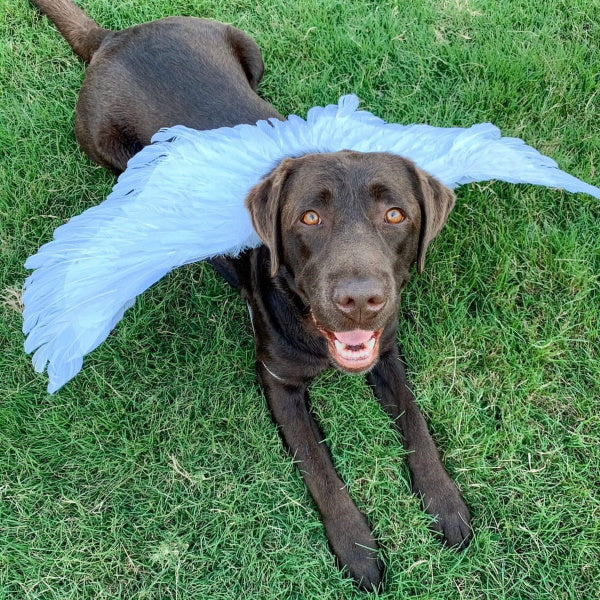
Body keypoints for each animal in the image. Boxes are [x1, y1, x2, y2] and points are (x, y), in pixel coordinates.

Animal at [30, 0, 472, 592]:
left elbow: (416, 423)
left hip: (248, 49)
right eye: (309, 217)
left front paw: (445, 503)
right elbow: (319, 466)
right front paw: (356, 546)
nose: (360, 299)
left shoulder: (388, 351)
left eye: (396, 214)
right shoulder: (278, 380)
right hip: (108, 150)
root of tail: (114, 35)